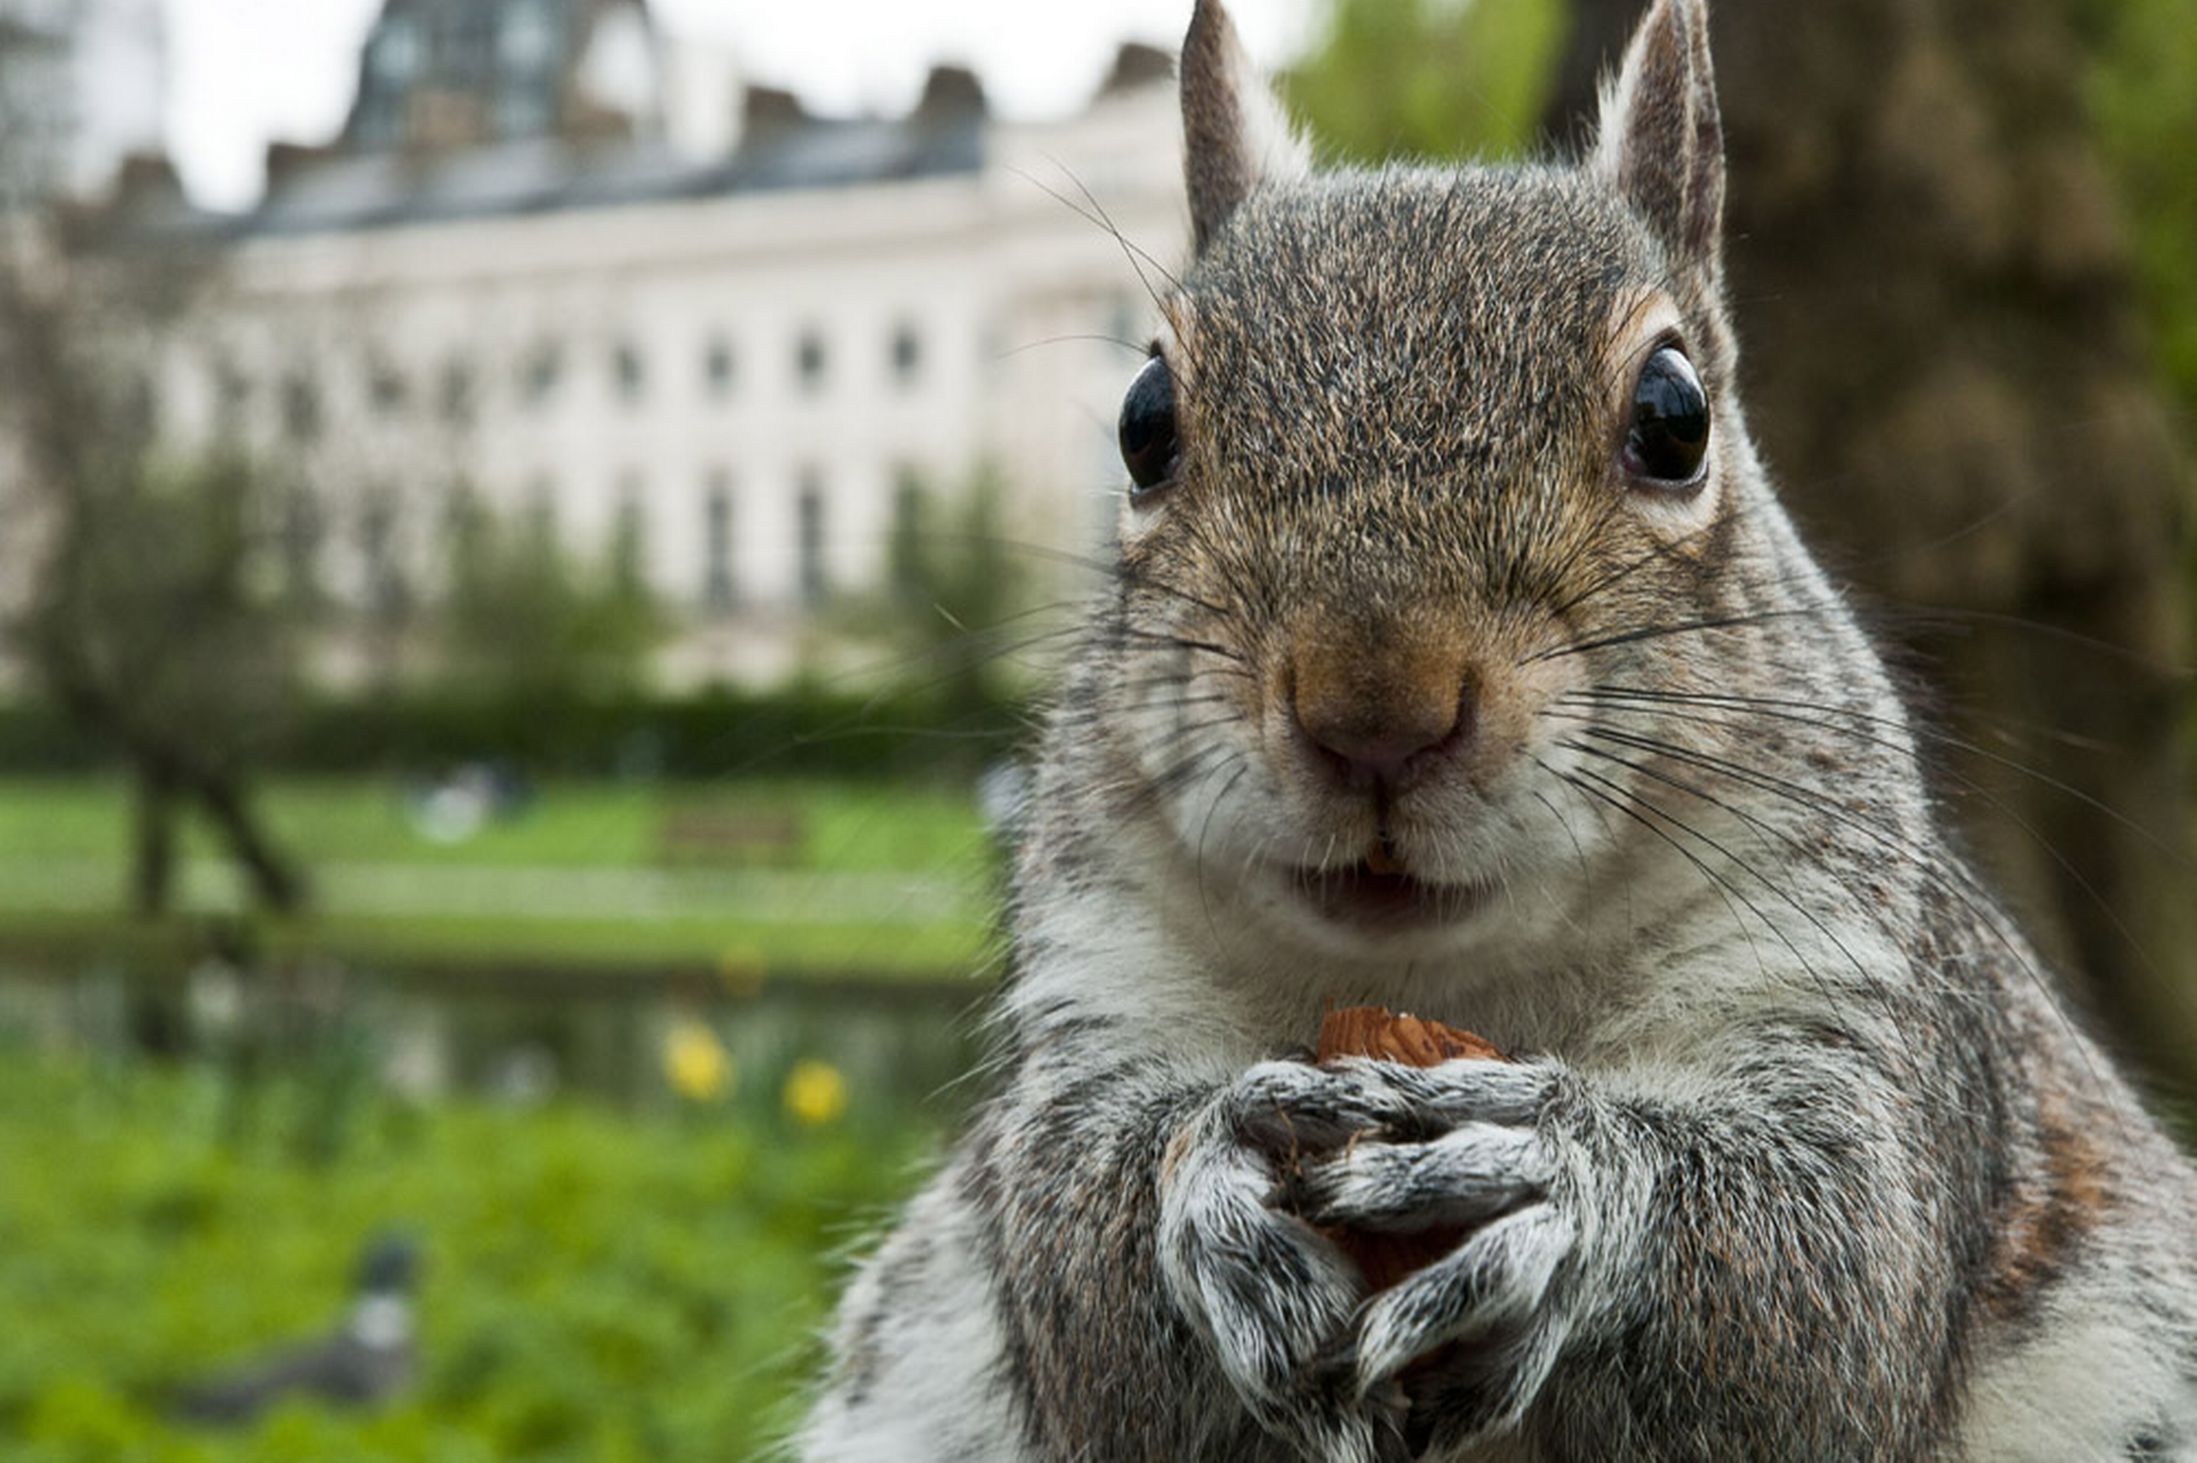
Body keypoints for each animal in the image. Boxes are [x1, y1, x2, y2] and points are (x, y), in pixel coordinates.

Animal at [799, 5, 2197, 1449]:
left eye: (1674, 418)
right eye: (1143, 426)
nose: (1372, 705)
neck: (1445, 982)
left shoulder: (1854, 1005)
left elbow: (1824, 1291)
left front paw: (1565, 1182)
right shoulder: (1096, 984)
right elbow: (1080, 1272)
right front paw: (1210, 1181)